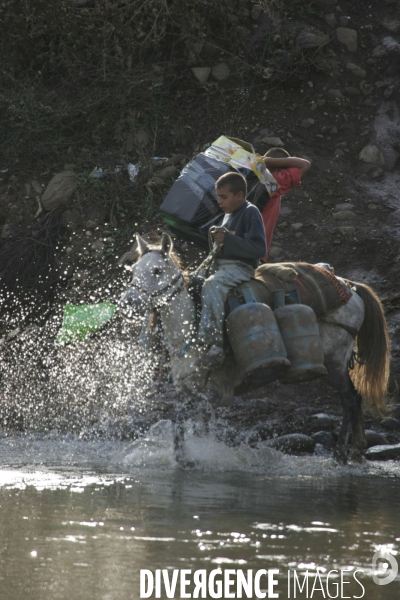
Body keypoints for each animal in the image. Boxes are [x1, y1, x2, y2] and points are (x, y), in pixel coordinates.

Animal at [119, 232, 390, 462]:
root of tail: (351, 286)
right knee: (355, 397)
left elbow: (178, 419)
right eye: (133, 270)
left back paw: (342, 452)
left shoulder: (217, 393)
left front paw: (185, 460)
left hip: (335, 361)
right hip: (326, 365)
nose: (128, 303)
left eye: (156, 270)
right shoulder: (191, 390)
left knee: (349, 399)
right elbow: (188, 424)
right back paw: (357, 448)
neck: (190, 324)